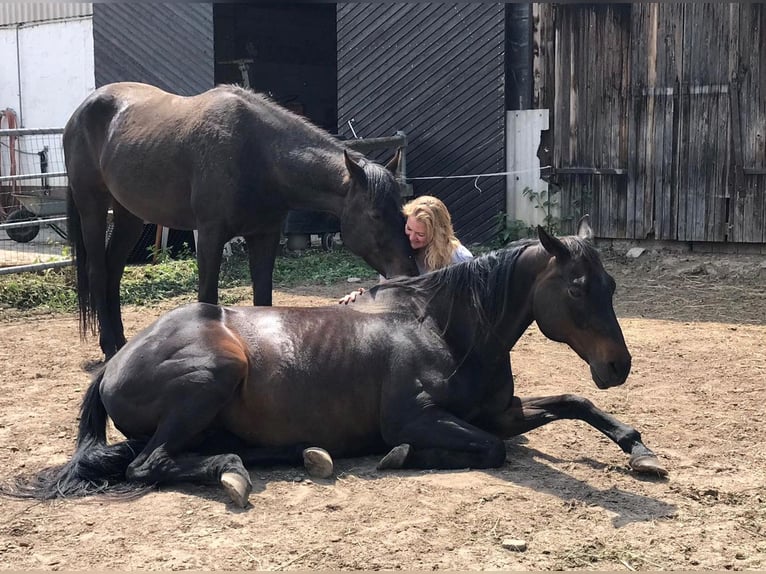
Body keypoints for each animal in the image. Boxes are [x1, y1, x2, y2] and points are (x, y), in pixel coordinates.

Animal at [8, 217, 667, 508]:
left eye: (610, 284)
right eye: (578, 288)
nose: (619, 366)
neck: (444, 329)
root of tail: (114, 363)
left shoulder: (503, 412)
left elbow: (576, 403)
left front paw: (641, 451)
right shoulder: (417, 417)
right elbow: (487, 449)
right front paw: (402, 457)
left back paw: (303, 453)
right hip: (212, 375)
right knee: (149, 465)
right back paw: (232, 472)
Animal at [64, 81, 418, 359]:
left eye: (401, 211)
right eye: (375, 215)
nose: (410, 272)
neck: (256, 153)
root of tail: (81, 111)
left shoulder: (264, 235)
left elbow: (264, 299)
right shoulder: (210, 235)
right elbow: (207, 298)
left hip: (129, 216)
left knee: (113, 271)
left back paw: (122, 342)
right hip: (92, 207)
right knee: (98, 271)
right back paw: (109, 346)